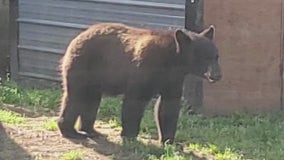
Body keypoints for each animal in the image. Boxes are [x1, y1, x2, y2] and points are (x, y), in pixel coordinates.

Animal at [57, 22, 222, 144]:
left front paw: (169, 140)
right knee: (76, 97)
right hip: (84, 65)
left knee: (91, 100)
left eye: (216, 56)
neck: (173, 60)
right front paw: (129, 135)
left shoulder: (173, 79)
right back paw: (71, 131)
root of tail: (78, 36)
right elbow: (135, 101)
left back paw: (91, 130)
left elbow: (169, 105)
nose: (217, 75)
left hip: (95, 78)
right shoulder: (145, 67)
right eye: (204, 58)